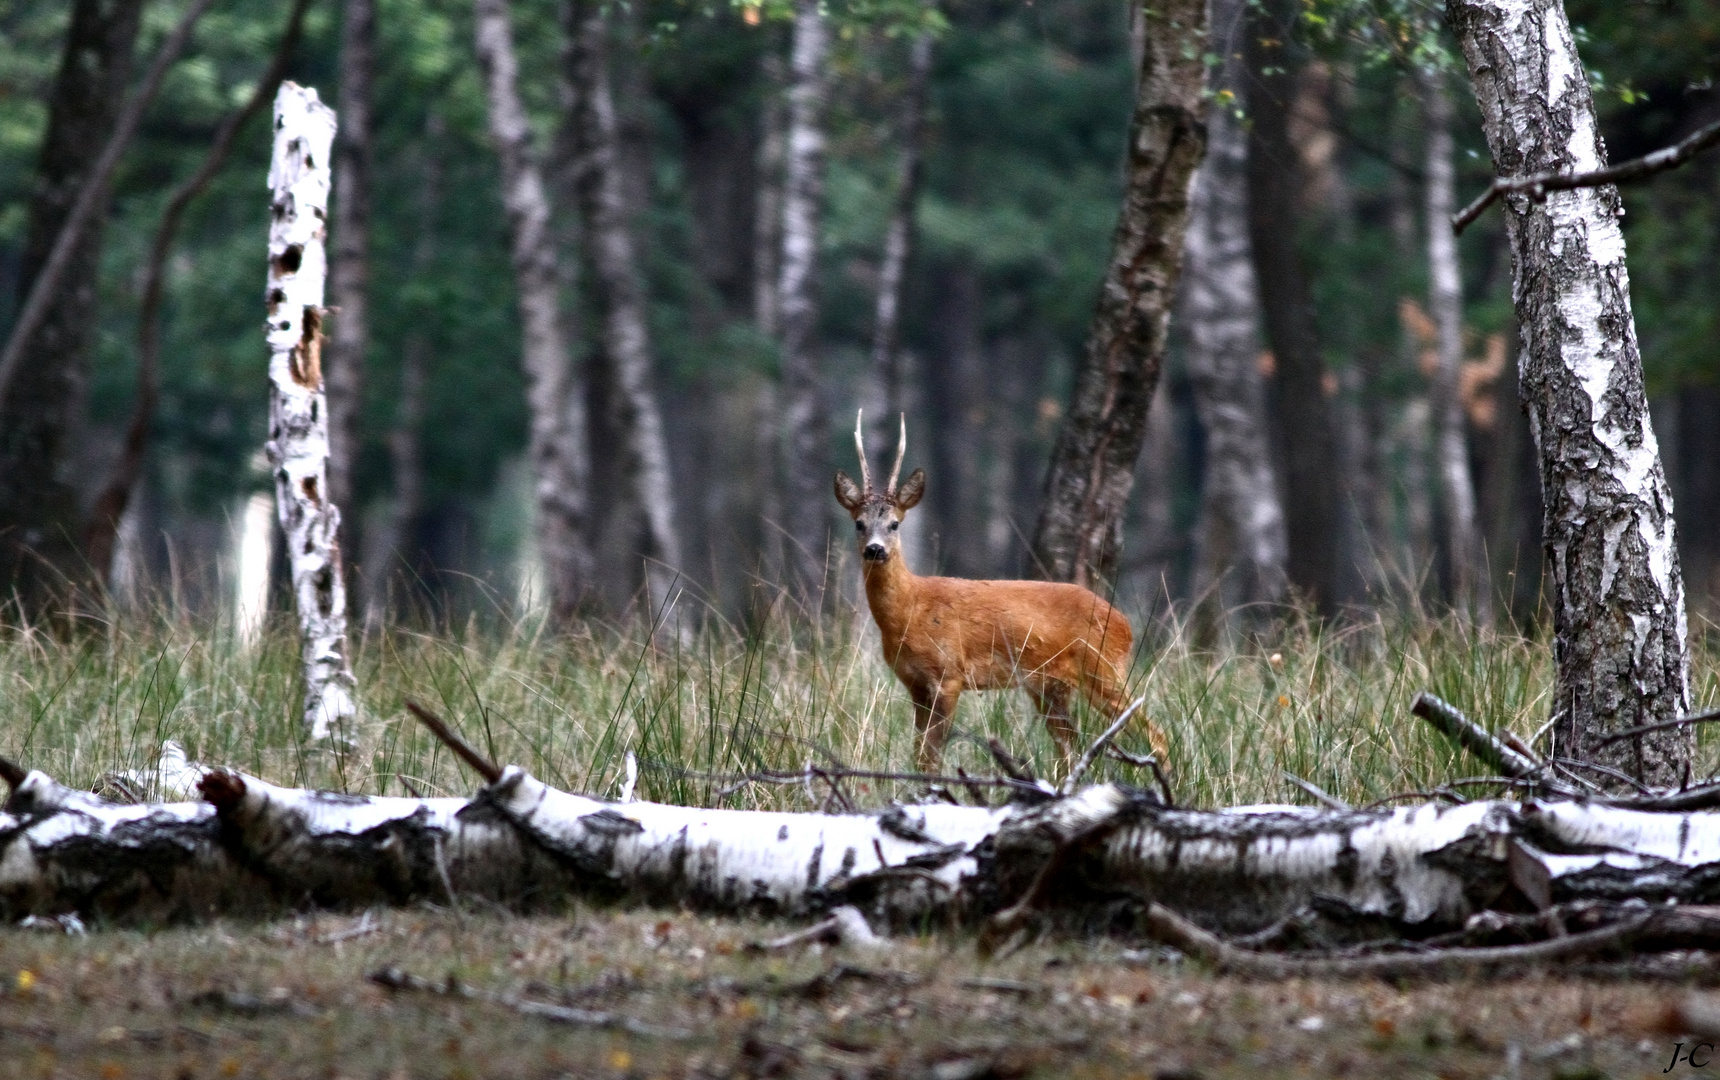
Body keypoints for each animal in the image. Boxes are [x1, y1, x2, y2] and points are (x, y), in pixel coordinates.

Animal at [835, 412, 1142, 777]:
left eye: (894, 524)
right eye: (858, 523)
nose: (875, 550)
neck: (911, 611)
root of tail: (1126, 625)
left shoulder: (949, 674)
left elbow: (932, 756)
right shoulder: (915, 683)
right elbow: (919, 756)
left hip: (1103, 669)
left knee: (1154, 734)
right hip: (1051, 687)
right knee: (1071, 747)